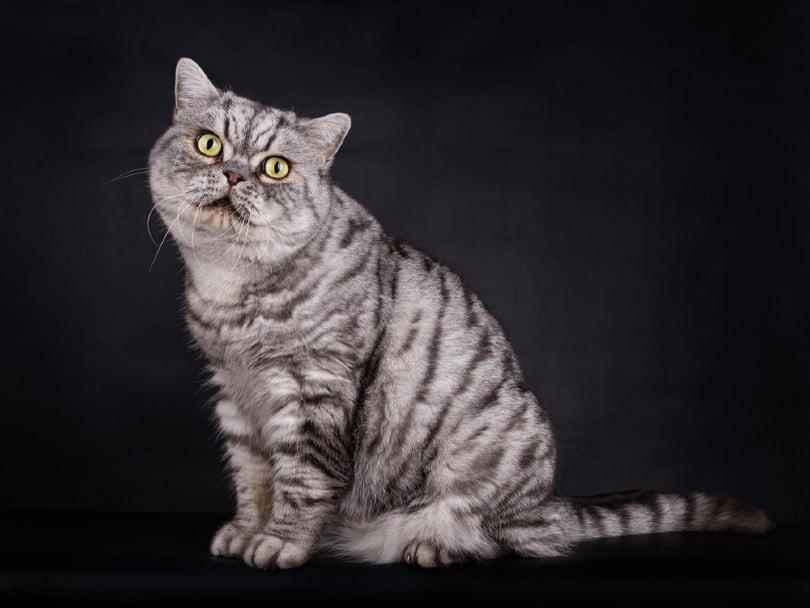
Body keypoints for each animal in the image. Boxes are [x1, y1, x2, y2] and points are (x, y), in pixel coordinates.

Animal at [147, 57, 772, 568]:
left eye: (275, 167)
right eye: (210, 145)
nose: (234, 174)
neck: (228, 283)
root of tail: (549, 501)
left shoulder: (312, 389)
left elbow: (299, 482)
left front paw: (279, 543)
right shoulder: (235, 392)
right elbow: (252, 479)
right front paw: (245, 532)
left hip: (481, 465)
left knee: (505, 539)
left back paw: (433, 546)